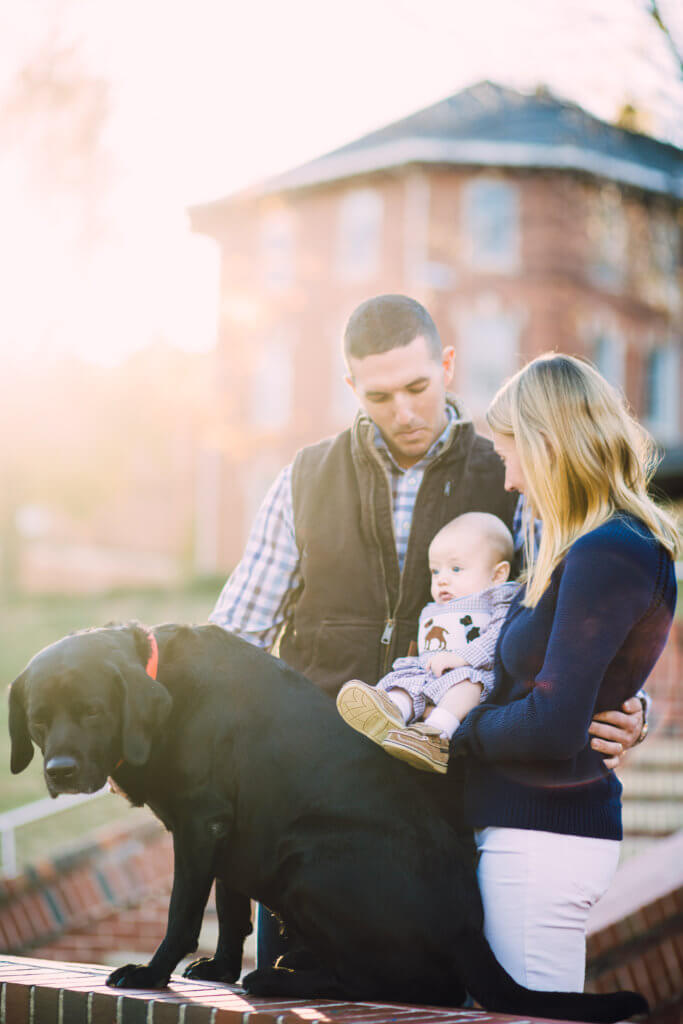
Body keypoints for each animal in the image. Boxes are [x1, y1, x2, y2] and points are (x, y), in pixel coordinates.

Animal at [7, 618, 651, 1019]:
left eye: (94, 711)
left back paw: (276, 978)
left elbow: (184, 911)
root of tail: (470, 929)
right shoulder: (227, 830)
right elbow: (231, 912)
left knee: (404, 984)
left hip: (308, 862)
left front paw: (152, 972)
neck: (162, 681)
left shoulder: (198, 823)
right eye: (37, 720)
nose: (61, 770)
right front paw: (218, 968)